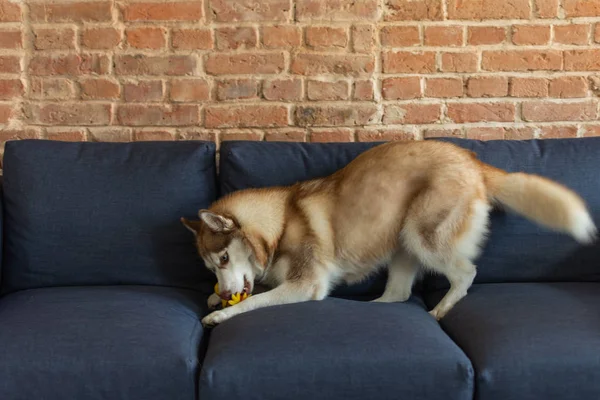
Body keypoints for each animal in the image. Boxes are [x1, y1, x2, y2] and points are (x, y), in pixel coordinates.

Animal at [182, 139, 596, 326]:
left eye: (223, 257)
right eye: (211, 267)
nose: (226, 292)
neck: (280, 223)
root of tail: (471, 160)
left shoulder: (305, 284)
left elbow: (255, 301)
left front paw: (222, 312)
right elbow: (249, 291)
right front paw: (215, 299)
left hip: (422, 232)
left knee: (466, 273)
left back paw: (441, 309)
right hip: (401, 241)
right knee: (397, 295)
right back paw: (373, 308)